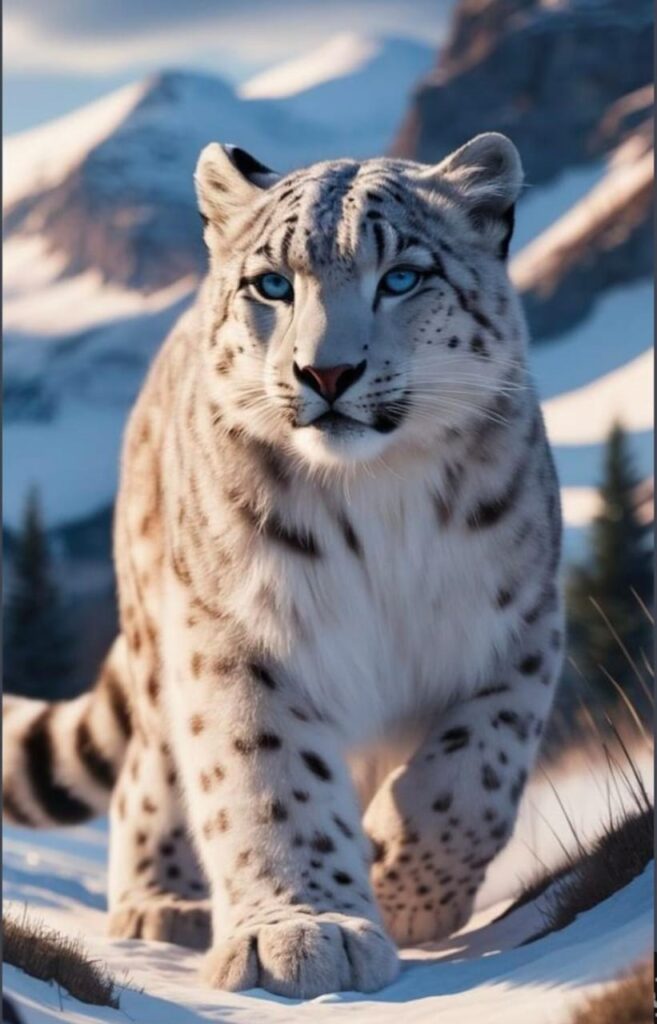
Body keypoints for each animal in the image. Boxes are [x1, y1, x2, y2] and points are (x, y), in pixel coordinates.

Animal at [3, 133, 564, 998]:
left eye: (402, 276)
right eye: (270, 283)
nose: (325, 373)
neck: (378, 500)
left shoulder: (519, 625)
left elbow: (475, 773)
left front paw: (409, 889)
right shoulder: (240, 631)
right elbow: (267, 777)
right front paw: (306, 929)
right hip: (158, 642)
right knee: (146, 776)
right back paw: (164, 903)